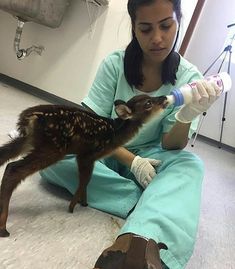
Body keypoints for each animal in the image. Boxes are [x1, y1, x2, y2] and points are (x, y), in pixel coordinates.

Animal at [0, 93, 169, 236]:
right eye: (148, 103)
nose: (164, 97)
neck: (115, 134)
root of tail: (28, 118)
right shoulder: (87, 155)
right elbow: (85, 180)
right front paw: (73, 206)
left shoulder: (87, 157)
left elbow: (87, 180)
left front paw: (83, 203)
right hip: (53, 147)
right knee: (13, 169)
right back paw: (3, 228)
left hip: (29, 141)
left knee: (6, 159)